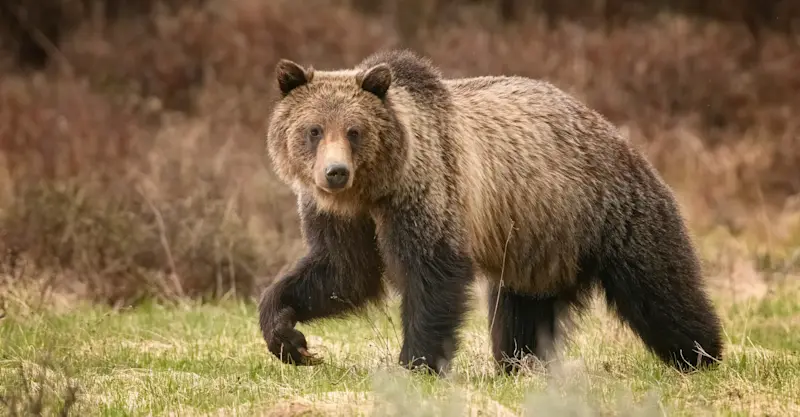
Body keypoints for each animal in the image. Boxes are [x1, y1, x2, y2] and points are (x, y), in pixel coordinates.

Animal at [258, 48, 724, 375]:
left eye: (354, 131)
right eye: (313, 130)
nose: (335, 172)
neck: (372, 191)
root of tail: (615, 133)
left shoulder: (427, 190)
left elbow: (432, 274)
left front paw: (416, 363)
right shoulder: (342, 217)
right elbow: (342, 272)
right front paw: (288, 336)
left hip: (609, 211)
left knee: (660, 289)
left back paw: (701, 353)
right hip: (536, 239)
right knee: (520, 309)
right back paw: (519, 362)